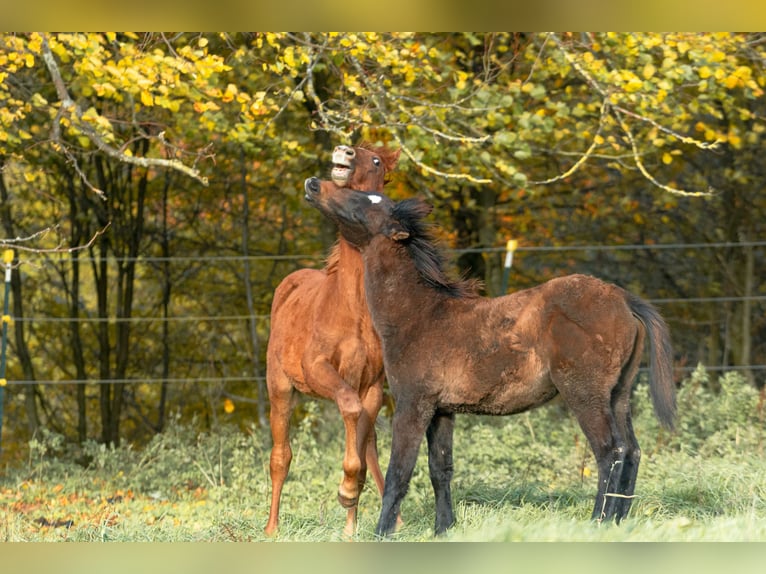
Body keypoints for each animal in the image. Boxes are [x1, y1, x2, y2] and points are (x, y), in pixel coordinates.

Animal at [264, 143, 401, 537]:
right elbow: (350, 412)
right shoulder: (318, 370)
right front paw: (346, 493)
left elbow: (361, 451)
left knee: (369, 448)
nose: (344, 150)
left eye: (376, 160)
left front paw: (350, 516)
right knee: (281, 456)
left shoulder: (371, 386)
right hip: (280, 388)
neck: (352, 307)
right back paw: (271, 528)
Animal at [303, 178, 676, 537]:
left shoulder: (413, 404)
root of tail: (624, 299)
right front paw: (443, 529)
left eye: (365, 202)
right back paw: (620, 523)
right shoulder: (442, 410)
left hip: (585, 394)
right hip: (618, 394)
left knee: (610, 451)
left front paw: (382, 534)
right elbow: (441, 469)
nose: (313, 184)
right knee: (632, 451)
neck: (419, 315)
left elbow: (399, 472)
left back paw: (599, 522)